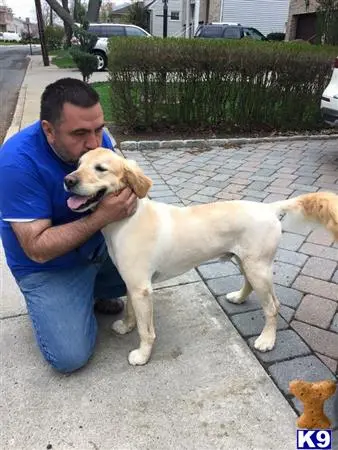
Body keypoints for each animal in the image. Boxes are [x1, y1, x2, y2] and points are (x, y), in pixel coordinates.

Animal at [64, 148, 338, 366]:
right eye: (78, 164)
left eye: (101, 169)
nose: (68, 180)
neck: (126, 219)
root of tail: (268, 207)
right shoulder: (133, 284)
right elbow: (132, 312)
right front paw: (126, 326)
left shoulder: (141, 287)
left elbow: (146, 329)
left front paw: (142, 355)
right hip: (245, 262)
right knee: (250, 286)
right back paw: (238, 298)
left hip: (258, 268)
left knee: (273, 306)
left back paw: (267, 339)